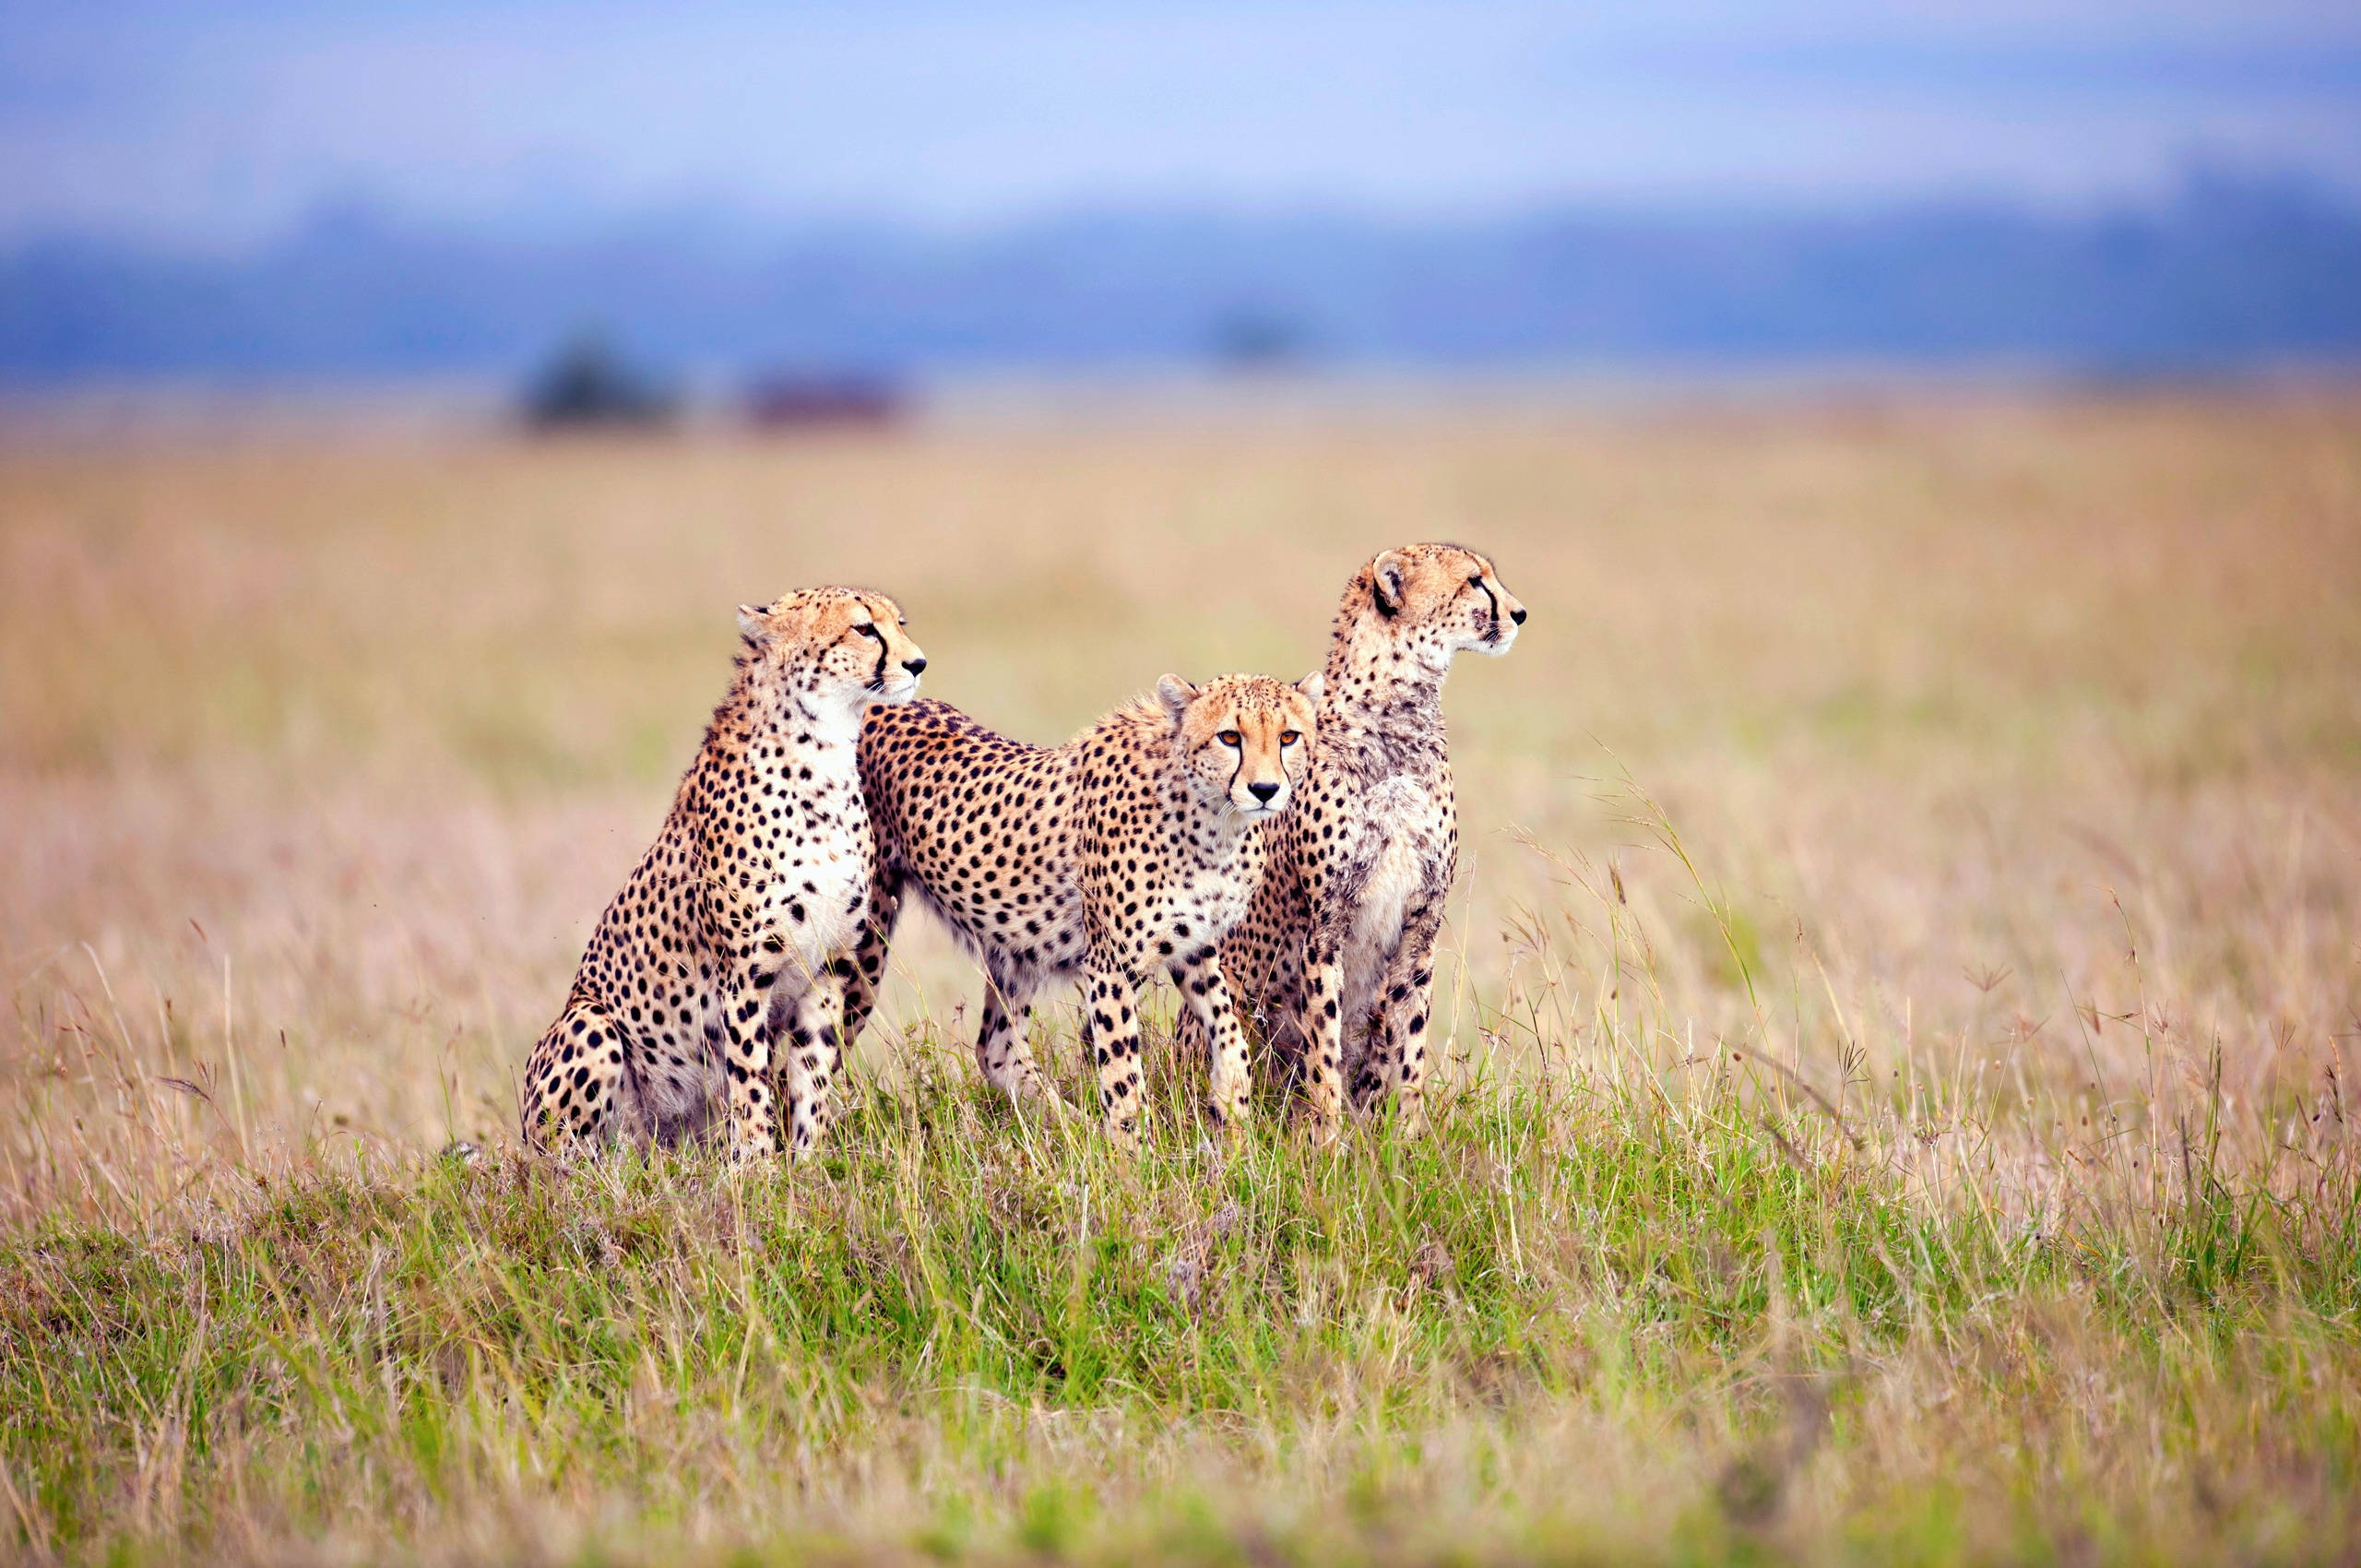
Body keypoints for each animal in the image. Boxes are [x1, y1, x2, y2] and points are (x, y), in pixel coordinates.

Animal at [518, 586, 928, 1161]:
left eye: (900, 624)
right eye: (863, 628)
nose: (917, 663)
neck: (823, 760)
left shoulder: (827, 970)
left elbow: (811, 1076)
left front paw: (809, 1164)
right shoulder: (745, 976)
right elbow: (751, 1081)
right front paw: (758, 1169)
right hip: (589, 1024)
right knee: (565, 1163)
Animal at [840, 672, 1320, 1147]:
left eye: (1289, 736)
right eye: (1229, 737)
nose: (1265, 790)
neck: (1213, 820)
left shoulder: (1193, 945)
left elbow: (1228, 1027)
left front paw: (1232, 1106)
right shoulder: (1111, 965)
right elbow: (1123, 1074)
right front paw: (1133, 1155)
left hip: (1015, 948)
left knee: (996, 1050)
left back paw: (1072, 1128)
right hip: (865, 938)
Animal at [1197, 543, 1525, 1138]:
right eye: (1474, 581)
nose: (1520, 613)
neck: (1399, 716)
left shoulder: (1421, 923)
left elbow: (1408, 1039)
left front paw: (1407, 1136)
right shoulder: (1324, 926)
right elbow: (1323, 1040)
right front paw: (1328, 1137)